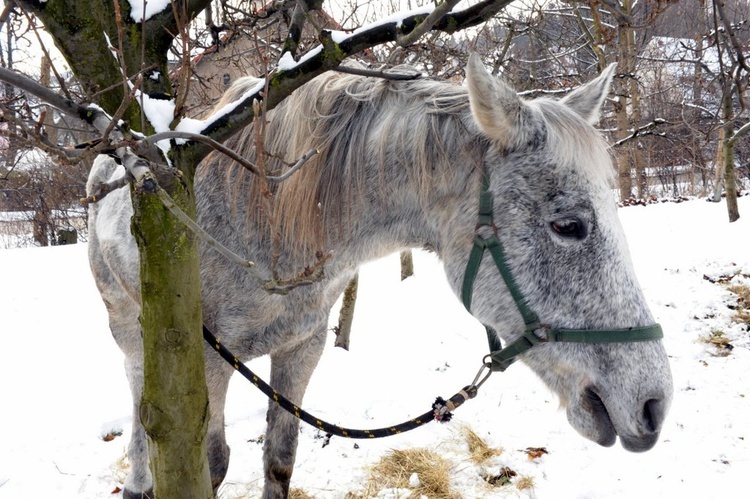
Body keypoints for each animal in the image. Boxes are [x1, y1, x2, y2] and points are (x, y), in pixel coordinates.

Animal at [86, 55, 676, 499]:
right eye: (568, 225)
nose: (654, 404)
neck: (265, 228)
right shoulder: (205, 362)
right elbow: (210, 463)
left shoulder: (301, 348)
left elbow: (279, 458)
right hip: (134, 336)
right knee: (142, 413)